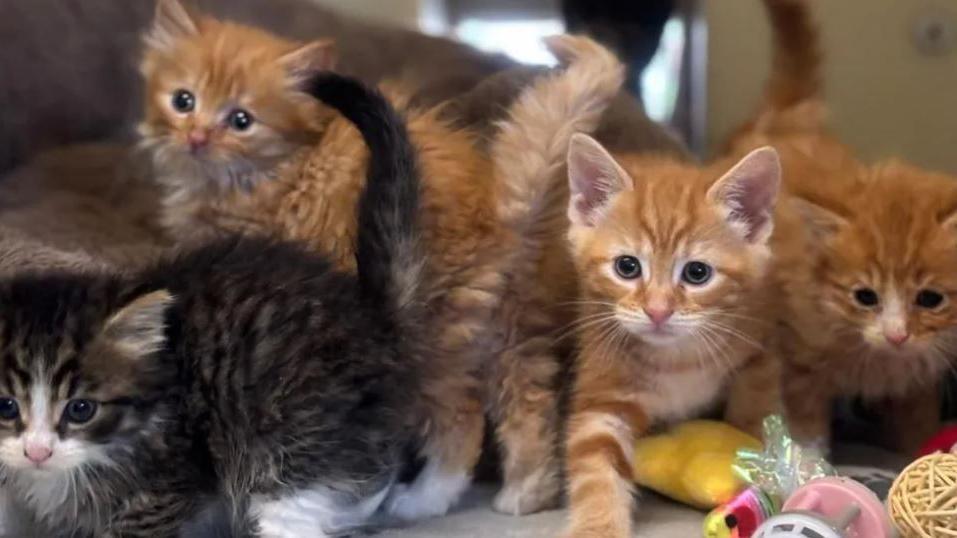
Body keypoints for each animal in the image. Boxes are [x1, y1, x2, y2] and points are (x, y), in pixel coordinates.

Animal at [0, 72, 424, 536]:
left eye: (81, 410)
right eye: (6, 406)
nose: (37, 452)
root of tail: (370, 315)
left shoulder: (166, 482)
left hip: (293, 439)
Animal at [136, 0, 628, 516]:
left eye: (240, 120)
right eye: (183, 100)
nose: (197, 137)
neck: (282, 168)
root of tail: (496, 210)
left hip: (433, 334)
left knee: (462, 419)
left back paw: (421, 502)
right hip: (510, 330)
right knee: (529, 405)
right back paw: (526, 495)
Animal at [560, 138, 784, 536]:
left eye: (697, 273)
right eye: (627, 266)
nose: (658, 310)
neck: (677, 358)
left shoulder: (759, 349)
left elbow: (754, 413)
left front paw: (762, 473)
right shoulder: (603, 389)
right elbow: (595, 465)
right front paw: (597, 527)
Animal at [724, 0, 956, 450]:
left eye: (931, 299)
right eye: (864, 297)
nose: (897, 335)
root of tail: (788, 120)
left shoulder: (922, 373)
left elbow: (917, 424)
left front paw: (923, 450)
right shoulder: (797, 354)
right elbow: (804, 420)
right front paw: (809, 459)